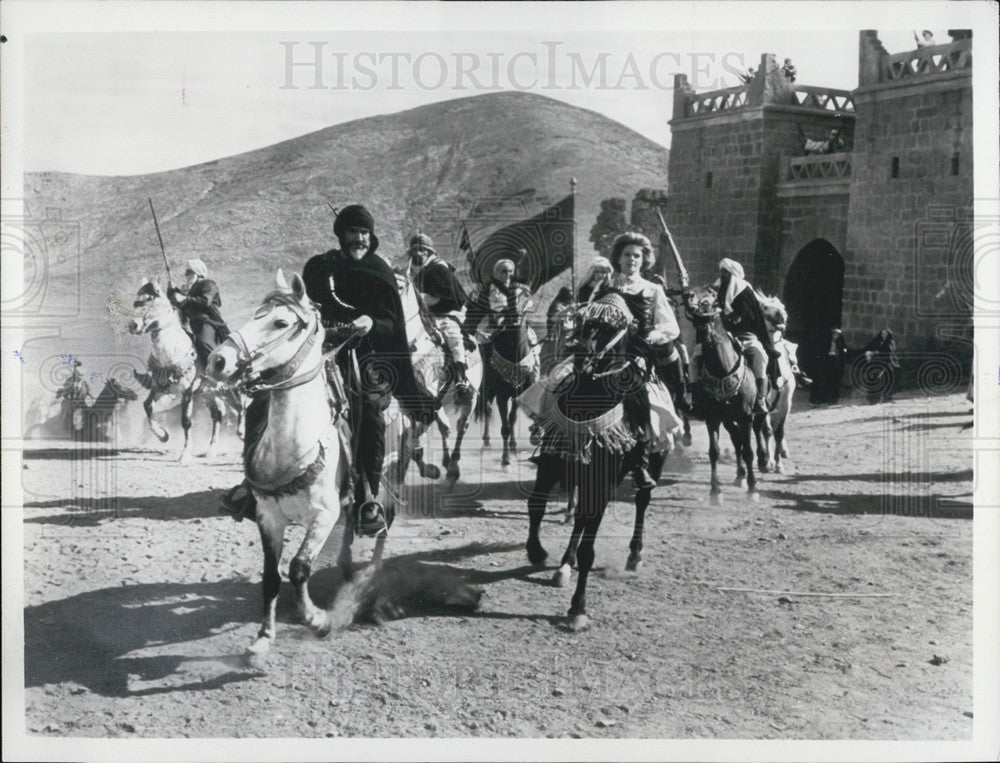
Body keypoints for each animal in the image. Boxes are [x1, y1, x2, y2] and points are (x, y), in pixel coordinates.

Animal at [127, 280, 240, 462]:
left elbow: (186, 421)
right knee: (218, 416)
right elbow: (147, 407)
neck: (172, 352)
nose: (133, 325)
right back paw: (211, 451)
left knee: (240, 408)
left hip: (230, 391)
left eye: (150, 300)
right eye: (136, 302)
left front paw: (185, 454)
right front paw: (163, 435)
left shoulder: (187, 391)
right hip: (208, 395)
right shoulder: (160, 388)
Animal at [209, 270, 392, 668]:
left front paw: (317, 619)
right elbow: (271, 577)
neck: (293, 441)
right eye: (256, 313)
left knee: (372, 532)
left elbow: (299, 568)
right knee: (346, 543)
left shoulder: (323, 515)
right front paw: (262, 640)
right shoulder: (269, 518)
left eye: (281, 322)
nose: (217, 360)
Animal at [476, 304, 540, 466]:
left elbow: (512, 418)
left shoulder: (519, 393)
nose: (515, 316)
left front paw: (513, 445)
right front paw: (505, 459)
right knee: (487, 409)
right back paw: (486, 442)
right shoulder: (501, 396)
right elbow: (504, 426)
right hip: (487, 387)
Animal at [524, 302, 664, 628]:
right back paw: (564, 565)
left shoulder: (601, 482)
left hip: (651, 461)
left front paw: (578, 608)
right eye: (585, 321)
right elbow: (536, 505)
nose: (580, 354)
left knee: (642, 499)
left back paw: (634, 555)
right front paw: (537, 552)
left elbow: (590, 548)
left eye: (611, 328)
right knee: (579, 519)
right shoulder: (553, 465)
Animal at [684, 290, 760, 504]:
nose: (706, 336)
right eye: (695, 320)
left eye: (712, 315)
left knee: (749, 439)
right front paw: (715, 491)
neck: (722, 371)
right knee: (736, 439)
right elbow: (714, 452)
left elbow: (749, 451)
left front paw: (753, 488)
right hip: (727, 418)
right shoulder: (713, 418)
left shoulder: (746, 416)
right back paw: (739, 475)